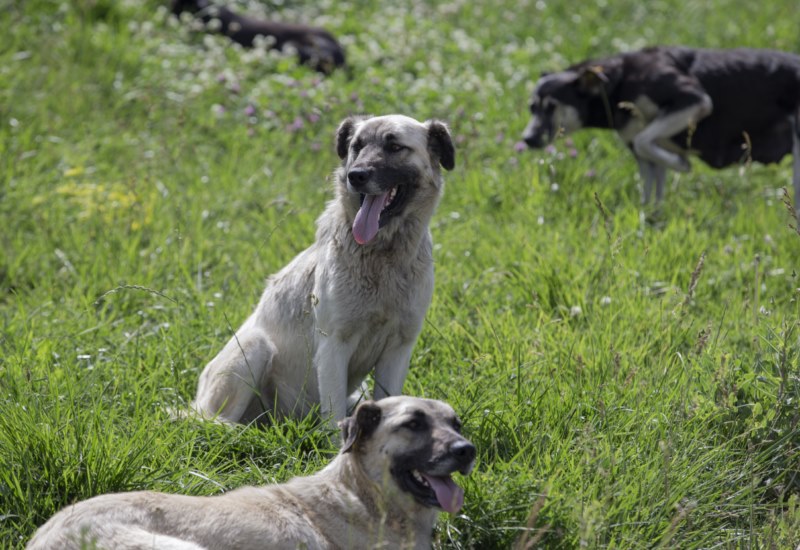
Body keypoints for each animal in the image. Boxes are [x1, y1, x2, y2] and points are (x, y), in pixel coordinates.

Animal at [520, 46, 800, 211]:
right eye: (531, 107)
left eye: (552, 107)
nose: (527, 139)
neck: (619, 82)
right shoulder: (645, 157)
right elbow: (651, 193)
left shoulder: (694, 100)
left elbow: (647, 141)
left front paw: (682, 164)